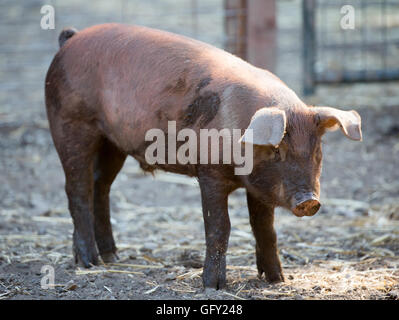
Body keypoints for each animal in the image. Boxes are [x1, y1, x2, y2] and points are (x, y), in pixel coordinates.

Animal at [46, 24, 362, 290]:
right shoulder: (209, 172)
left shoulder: (258, 187)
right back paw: (89, 262)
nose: (309, 201)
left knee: (100, 186)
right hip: (70, 123)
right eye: (276, 151)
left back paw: (111, 257)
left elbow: (264, 228)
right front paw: (213, 286)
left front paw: (278, 280)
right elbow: (219, 226)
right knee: (77, 188)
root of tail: (70, 39)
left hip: (113, 143)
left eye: (317, 152)